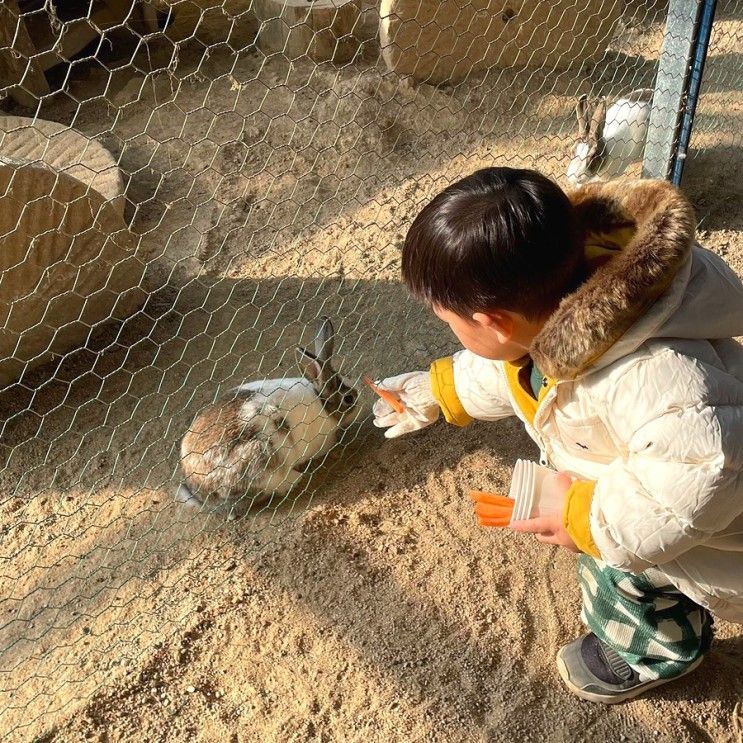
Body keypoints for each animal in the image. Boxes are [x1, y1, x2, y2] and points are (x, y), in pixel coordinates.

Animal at [177, 316, 358, 516]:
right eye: (348, 398)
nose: (359, 398)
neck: (322, 402)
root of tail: (204, 496)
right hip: (264, 458)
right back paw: (296, 478)